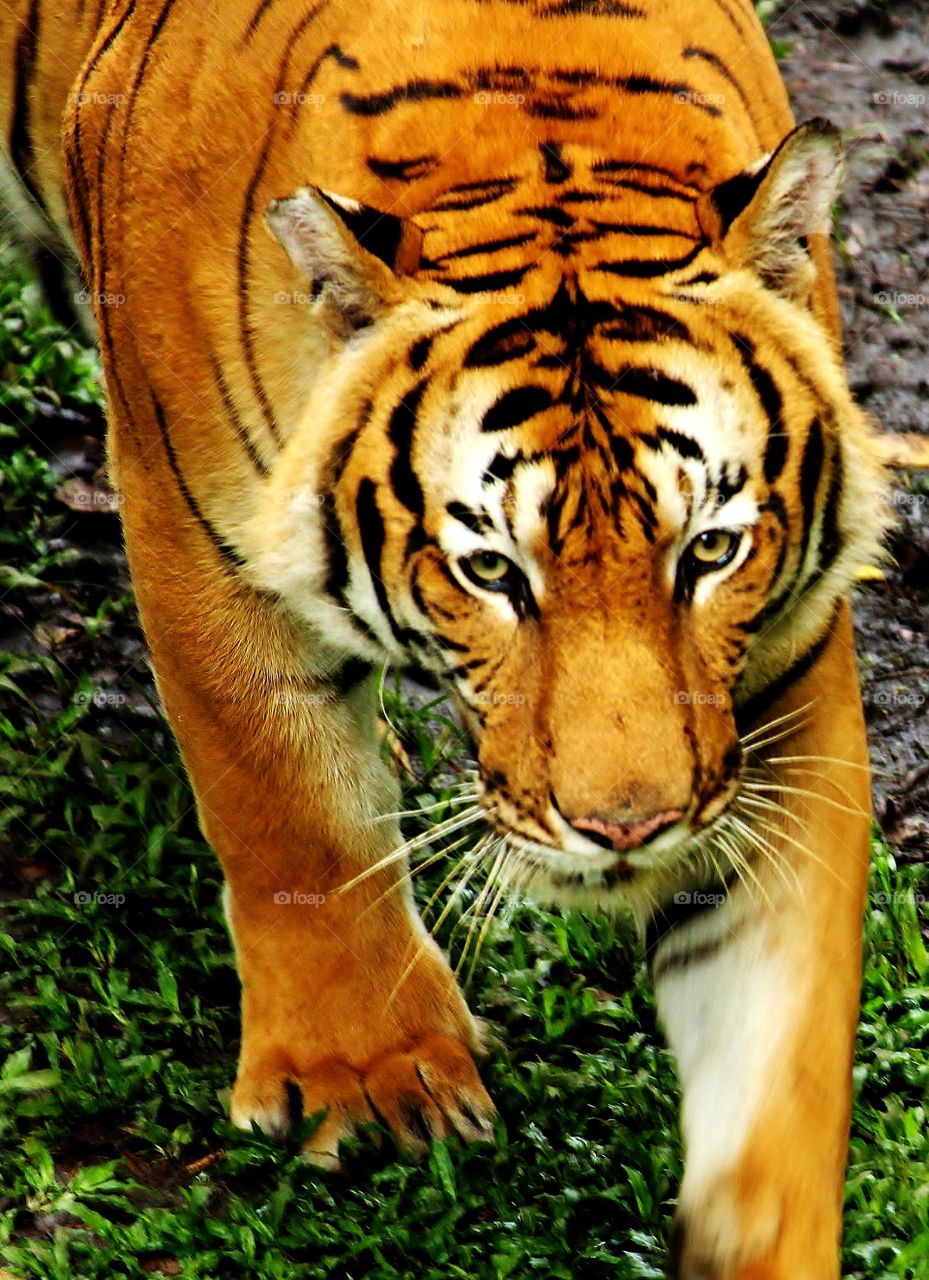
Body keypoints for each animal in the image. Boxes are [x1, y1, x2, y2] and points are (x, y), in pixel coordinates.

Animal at [0, 0, 893, 1274]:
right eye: (490, 571)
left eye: (709, 551)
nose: (627, 827)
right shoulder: (198, 539)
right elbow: (291, 810)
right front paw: (367, 1080)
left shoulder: (776, 690)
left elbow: (776, 1045)